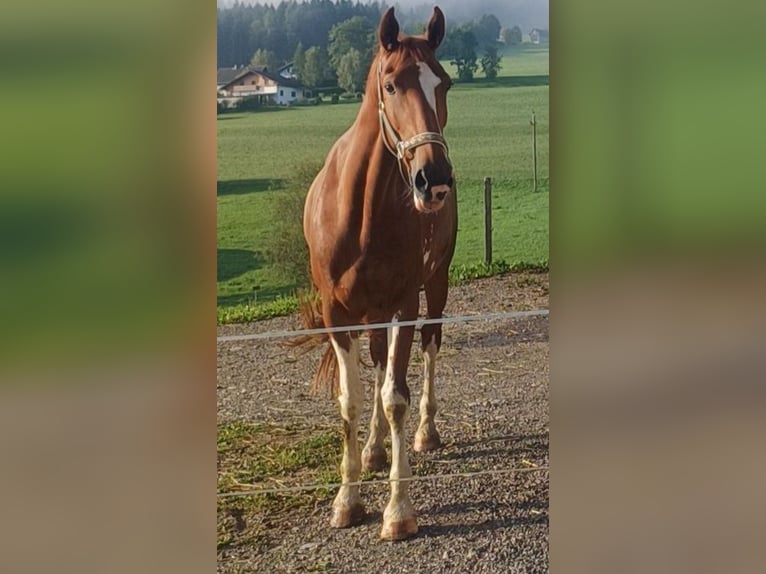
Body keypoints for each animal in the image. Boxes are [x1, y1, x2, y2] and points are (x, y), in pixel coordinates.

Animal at [304, 6, 460, 544]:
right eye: (390, 85)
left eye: (444, 83)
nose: (434, 180)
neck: (362, 211)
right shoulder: (337, 313)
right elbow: (351, 400)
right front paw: (347, 499)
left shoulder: (403, 304)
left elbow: (396, 397)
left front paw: (398, 510)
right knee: (375, 364)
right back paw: (373, 450)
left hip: (436, 286)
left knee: (431, 347)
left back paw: (425, 433)